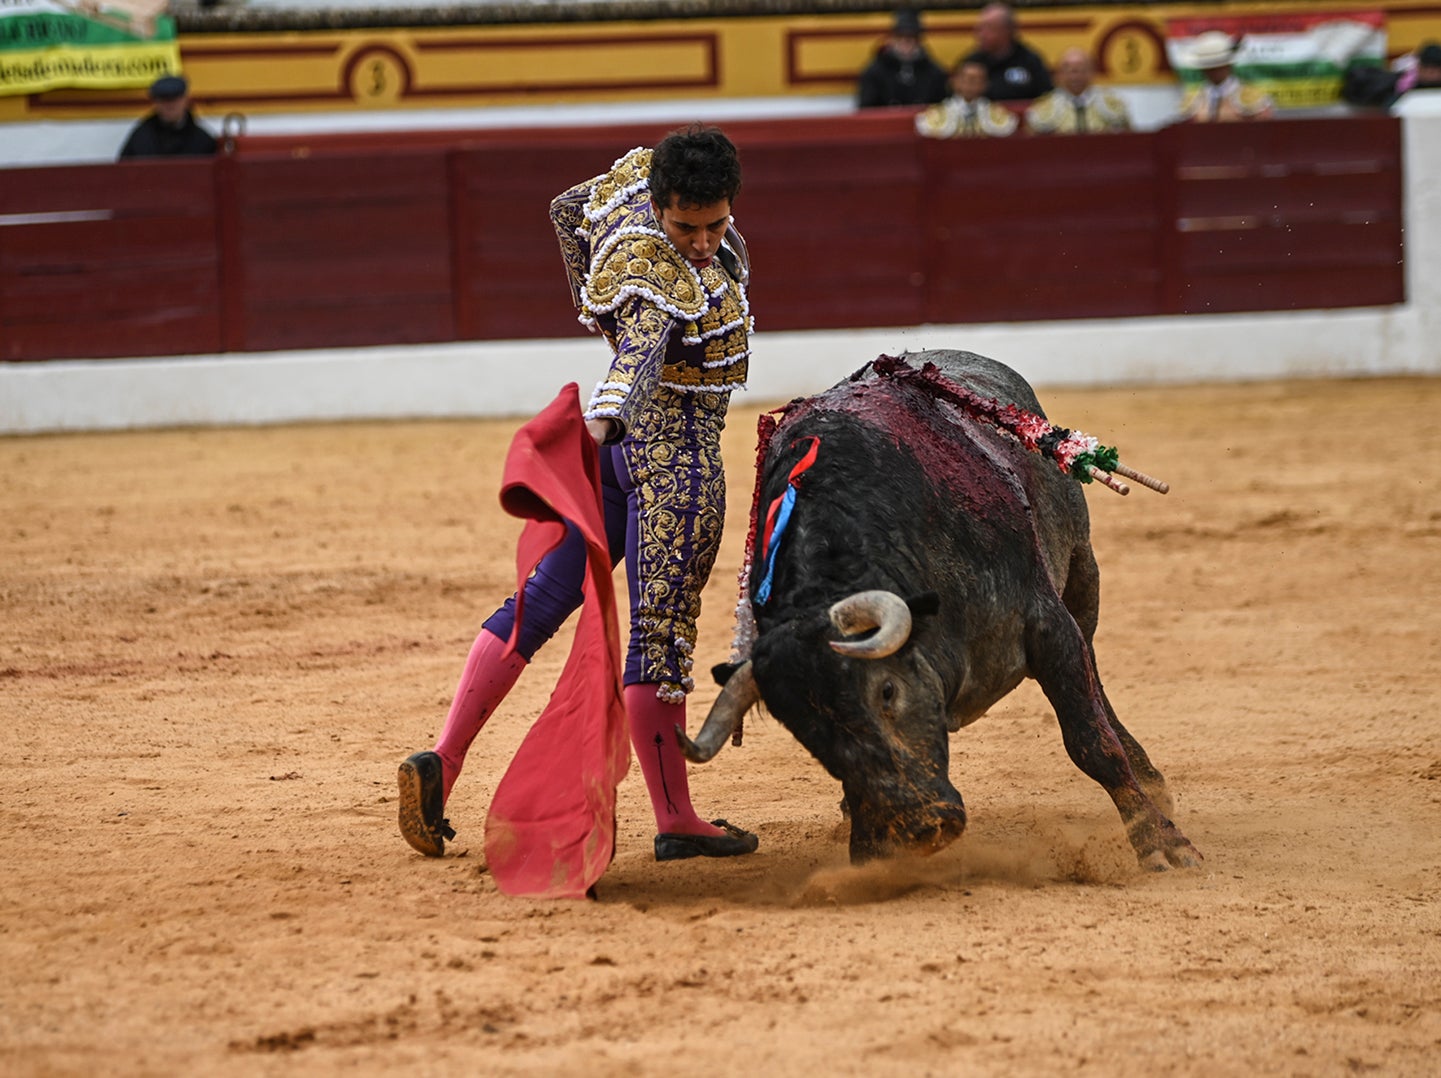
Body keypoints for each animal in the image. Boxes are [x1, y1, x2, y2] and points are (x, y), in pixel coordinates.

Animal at [680, 350, 1198, 870]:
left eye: (887, 691)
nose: (915, 830)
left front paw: (1162, 843)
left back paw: (1149, 778)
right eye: (807, 733)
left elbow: (1089, 740)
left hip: (1081, 570)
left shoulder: (1048, 623)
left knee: (1094, 674)